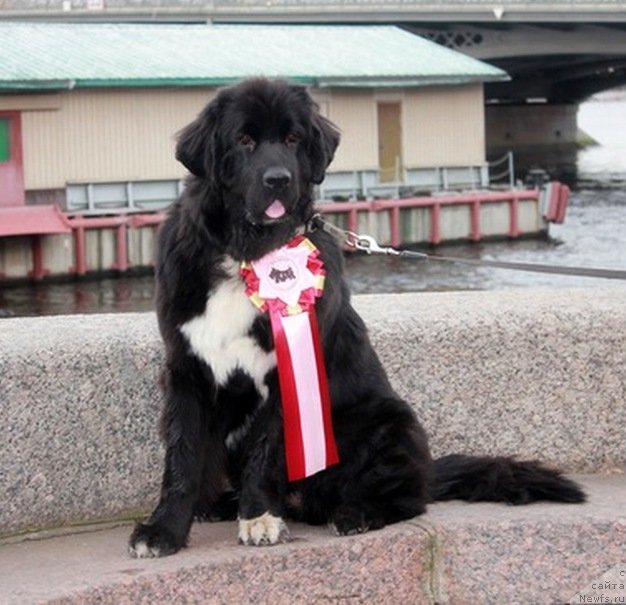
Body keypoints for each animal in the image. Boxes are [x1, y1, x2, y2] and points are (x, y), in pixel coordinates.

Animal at [128, 79, 584, 556]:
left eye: (293, 139)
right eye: (245, 140)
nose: (279, 179)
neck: (246, 251)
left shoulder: (284, 377)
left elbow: (265, 450)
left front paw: (259, 517)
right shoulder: (186, 367)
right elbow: (182, 457)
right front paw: (163, 529)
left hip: (389, 422)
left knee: (406, 497)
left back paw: (355, 513)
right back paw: (221, 504)